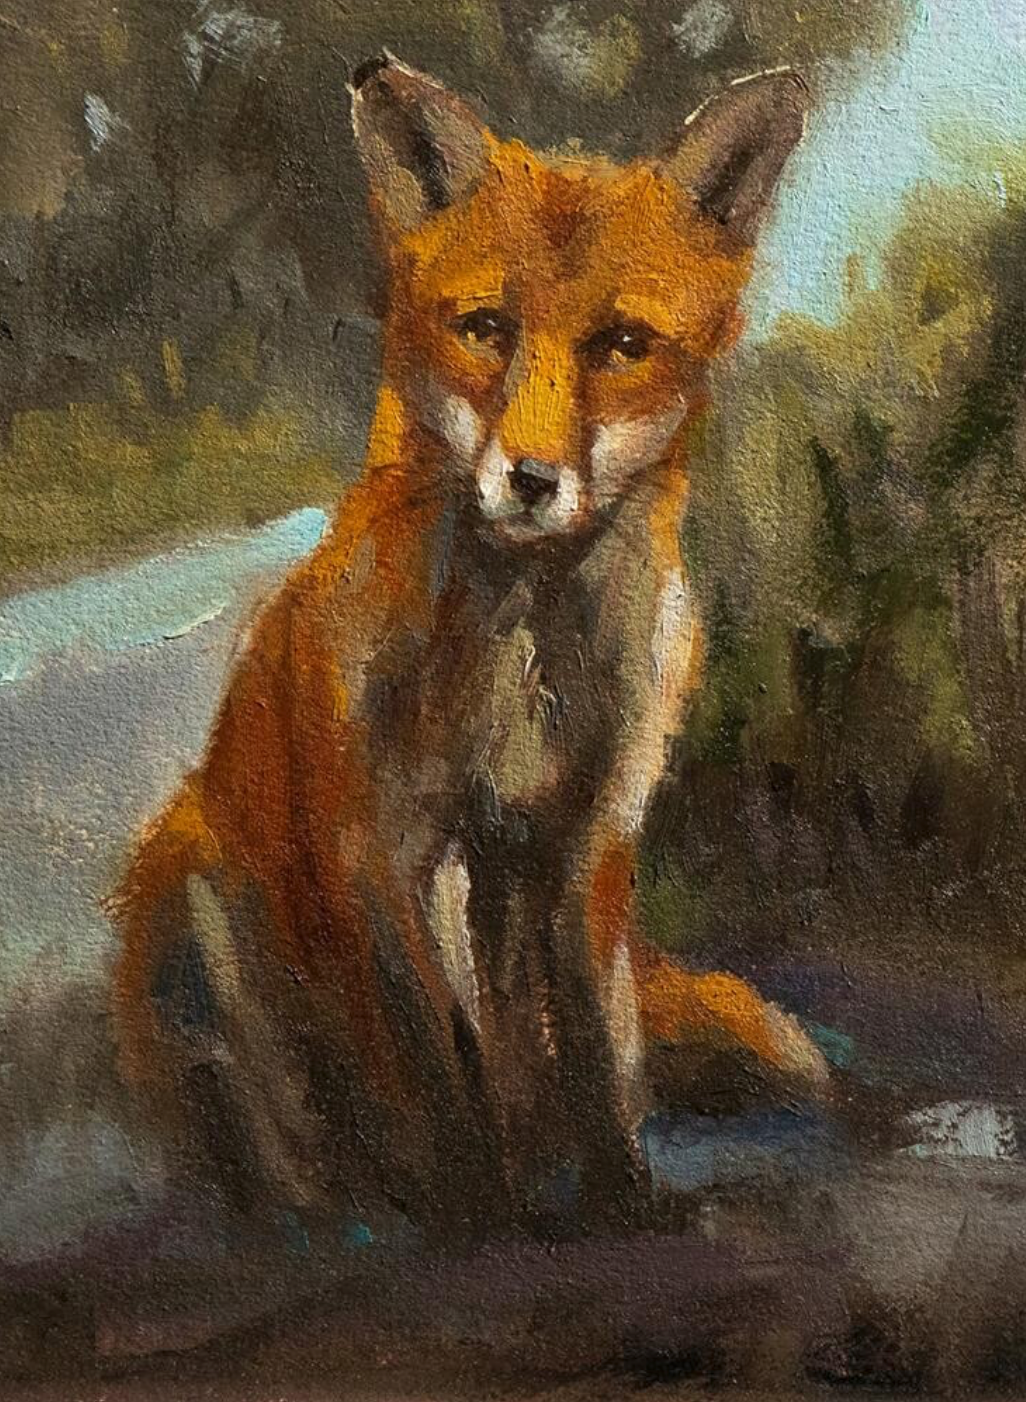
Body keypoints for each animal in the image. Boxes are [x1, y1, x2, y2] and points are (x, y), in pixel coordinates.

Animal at [111, 55, 829, 1237]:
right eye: (485, 326)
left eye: (623, 346)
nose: (531, 481)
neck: (523, 659)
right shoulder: (387, 852)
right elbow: (435, 1061)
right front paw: (472, 1214)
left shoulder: (585, 843)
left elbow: (594, 1054)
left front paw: (622, 1203)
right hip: (193, 892)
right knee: (280, 1121)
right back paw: (333, 1195)